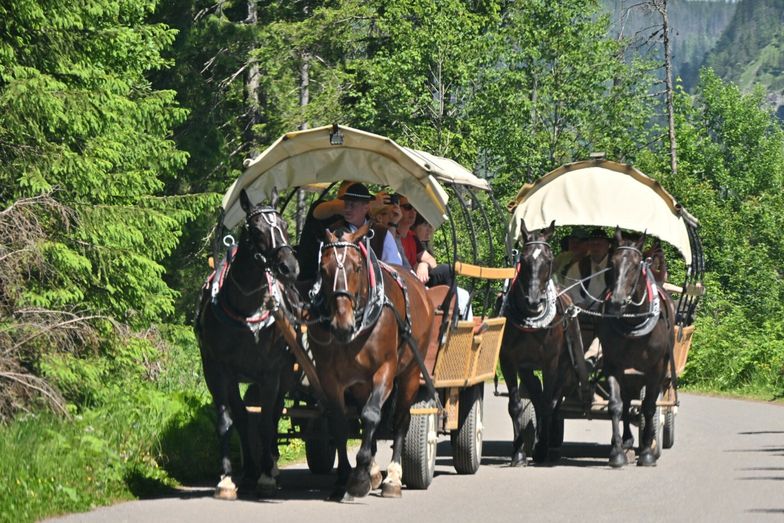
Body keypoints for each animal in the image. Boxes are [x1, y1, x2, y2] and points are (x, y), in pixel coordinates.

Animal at [194, 189, 300, 500]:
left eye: (285, 226)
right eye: (255, 230)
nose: (289, 268)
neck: (246, 310)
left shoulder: (270, 373)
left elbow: (265, 422)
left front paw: (266, 476)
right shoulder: (217, 370)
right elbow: (229, 421)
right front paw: (228, 478)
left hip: (285, 374)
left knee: (275, 414)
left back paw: (271, 465)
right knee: (245, 417)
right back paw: (253, 469)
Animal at [308, 223, 434, 502]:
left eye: (357, 266)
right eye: (323, 268)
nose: (341, 325)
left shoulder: (385, 369)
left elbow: (372, 414)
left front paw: (359, 478)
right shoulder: (330, 378)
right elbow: (341, 423)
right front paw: (346, 477)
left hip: (410, 373)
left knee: (401, 419)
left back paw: (393, 477)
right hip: (360, 383)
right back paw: (374, 472)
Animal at [500, 221, 592, 466]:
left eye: (549, 260)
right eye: (523, 259)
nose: (534, 301)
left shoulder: (550, 362)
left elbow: (548, 403)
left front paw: (541, 448)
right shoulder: (509, 361)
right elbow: (516, 405)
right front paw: (519, 453)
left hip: (565, 368)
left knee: (551, 402)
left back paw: (548, 444)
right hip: (527, 369)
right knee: (537, 396)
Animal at [600, 228, 672, 466]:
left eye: (634, 264)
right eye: (612, 263)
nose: (617, 302)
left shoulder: (655, 369)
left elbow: (649, 406)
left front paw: (648, 451)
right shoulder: (613, 364)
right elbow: (616, 405)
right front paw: (617, 453)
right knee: (626, 402)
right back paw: (626, 441)